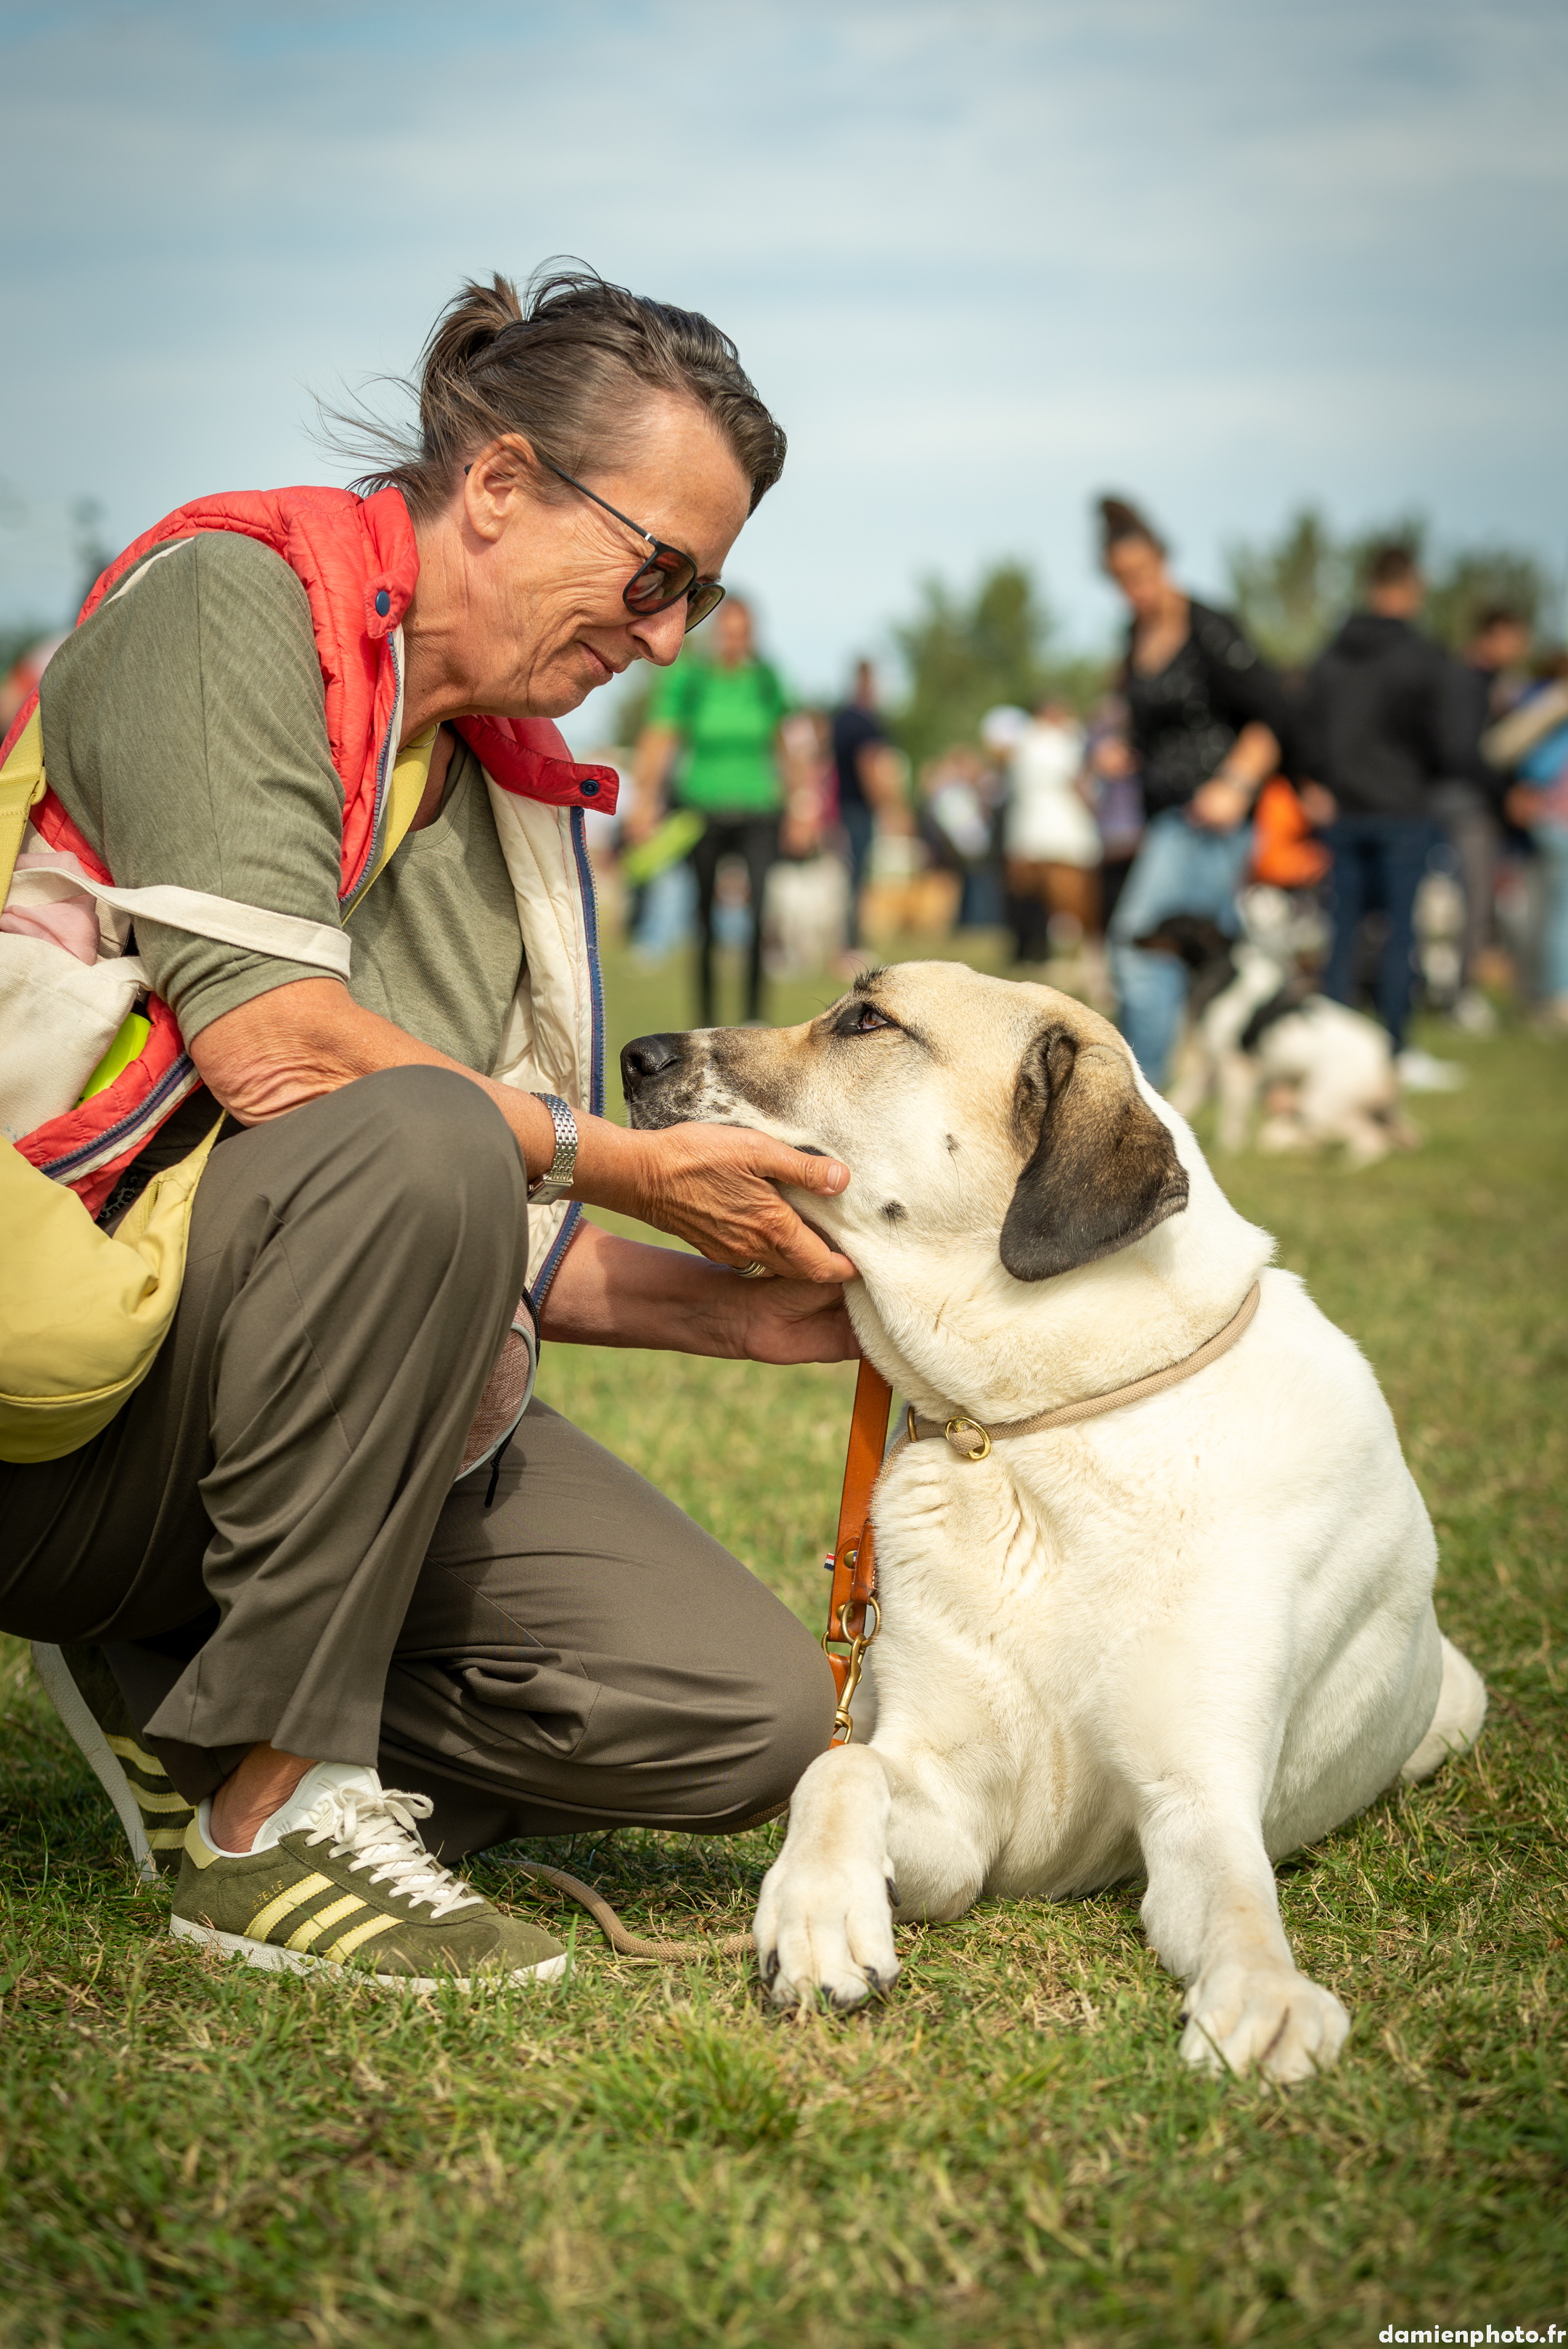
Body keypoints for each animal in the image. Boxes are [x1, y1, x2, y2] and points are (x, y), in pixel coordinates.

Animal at [622, 963, 1484, 2080]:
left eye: (868, 1020)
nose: (635, 1056)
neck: (1030, 1437)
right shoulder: (953, 1810)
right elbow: (839, 1767)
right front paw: (816, 1920)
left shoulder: (1197, 1796)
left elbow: (1242, 1901)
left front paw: (1268, 1998)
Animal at [1140, 899, 1414, 1166]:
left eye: (1165, 925)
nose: (1133, 936)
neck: (1227, 972)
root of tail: (1390, 1055)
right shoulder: (1211, 1070)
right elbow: (1182, 1100)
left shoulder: (1236, 1069)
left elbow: (1232, 1122)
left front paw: (1229, 1151)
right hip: (1381, 1112)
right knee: (1402, 1136)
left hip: (1321, 1106)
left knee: (1372, 1140)